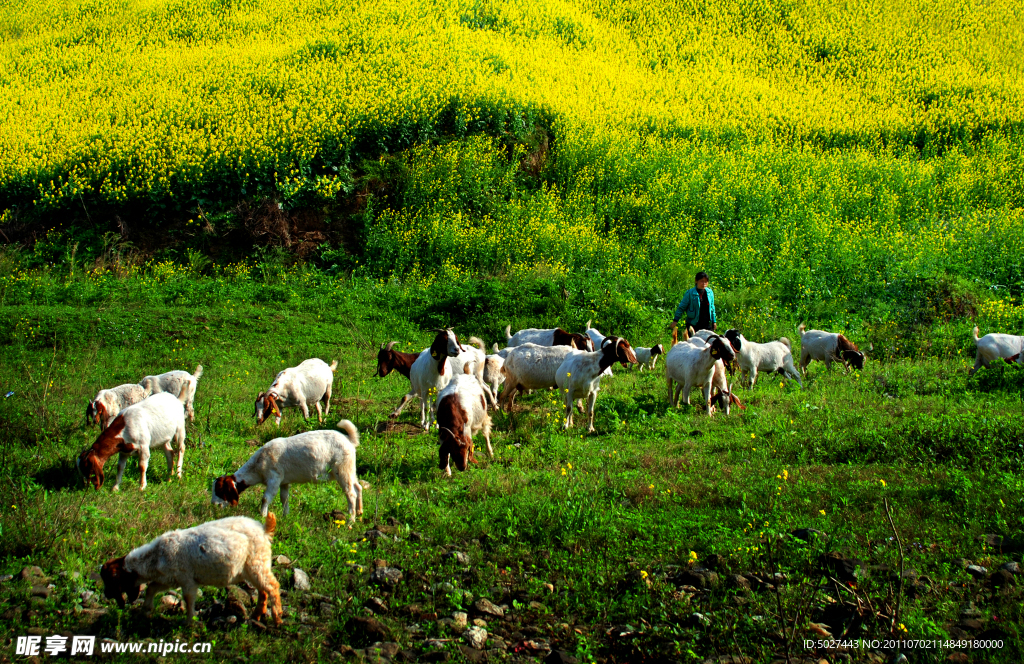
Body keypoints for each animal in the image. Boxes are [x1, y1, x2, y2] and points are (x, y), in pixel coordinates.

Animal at [98, 510, 280, 627]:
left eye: (110, 580)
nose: (106, 595)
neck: (157, 556)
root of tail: (264, 529)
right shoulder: (168, 579)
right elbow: (151, 588)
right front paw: (145, 611)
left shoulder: (187, 579)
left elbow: (188, 598)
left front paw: (188, 622)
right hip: (252, 568)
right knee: (263, 590)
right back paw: (256, 615)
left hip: (257, 562)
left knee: (272, 586)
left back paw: (277, 619)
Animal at [211, 420, 364, 524]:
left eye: (220, 490)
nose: (215, 505)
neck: (258, 465)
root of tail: (349, 439)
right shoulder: (284, 482)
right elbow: (284, 498)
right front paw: (285, 516)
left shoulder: (274, 478)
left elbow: (266, 498)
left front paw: (262, 515)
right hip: (350, 469)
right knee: (358, 487)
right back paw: (360, 512)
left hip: (342, 469)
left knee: (350, 494)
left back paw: (350, 521)